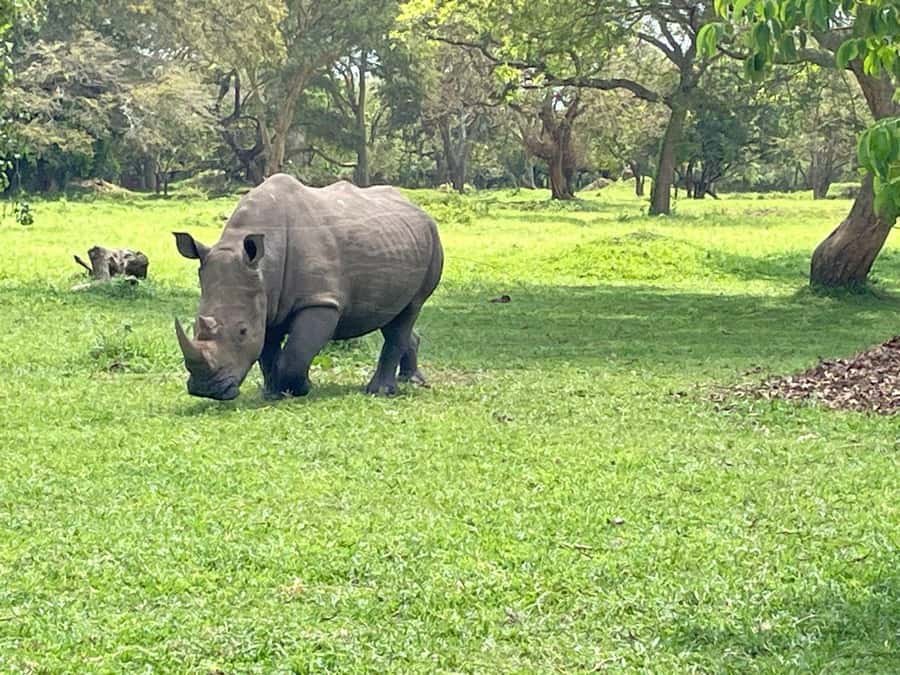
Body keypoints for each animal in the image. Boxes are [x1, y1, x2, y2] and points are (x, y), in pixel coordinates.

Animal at [173, 174, 443, 400]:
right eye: (195, 326)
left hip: (432, 242)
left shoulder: (320, 300)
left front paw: (299, 388)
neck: (264, 266)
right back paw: (412, 380)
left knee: (410, 309)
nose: (206, 390)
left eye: (242, 331)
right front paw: (273, 393)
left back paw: (381, 392)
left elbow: (296, 353)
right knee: (393, 315)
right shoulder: (265, 298)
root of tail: (419, 209)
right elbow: (267, 351)